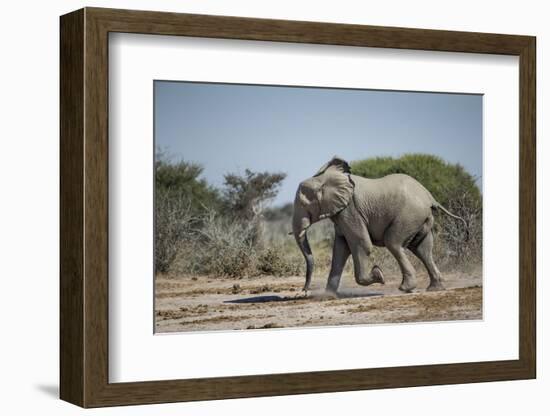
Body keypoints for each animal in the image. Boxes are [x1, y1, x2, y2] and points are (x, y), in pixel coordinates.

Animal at [292, 157, 468, 296]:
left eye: (303, 205)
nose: (304, 291)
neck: (324, 178)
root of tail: (430, 197)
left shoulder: (351, 210)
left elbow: (361, 244)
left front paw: (378, 275)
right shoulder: (341, 214)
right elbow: (340, 250)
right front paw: (328, 296)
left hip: (409, 215)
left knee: (394, 243)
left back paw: (406, 288)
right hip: (422, 219)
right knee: (422, 248)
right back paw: (435, 288)